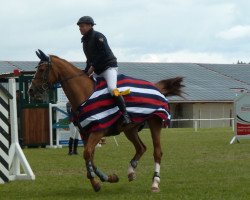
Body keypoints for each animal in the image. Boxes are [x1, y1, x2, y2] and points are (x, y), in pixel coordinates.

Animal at [28, 49, 184, 192]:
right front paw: (107, 178)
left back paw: (155, 183)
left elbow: (87, 154)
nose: (31, 91)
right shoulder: (86, 133)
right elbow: (90, 157)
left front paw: (97, 181)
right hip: (130, 129)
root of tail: (156, 87)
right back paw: (131, 172)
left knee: (157, 152)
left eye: (42, 69)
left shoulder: (98, 131)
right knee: (141, 147)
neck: (85, 93)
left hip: (154, 123)